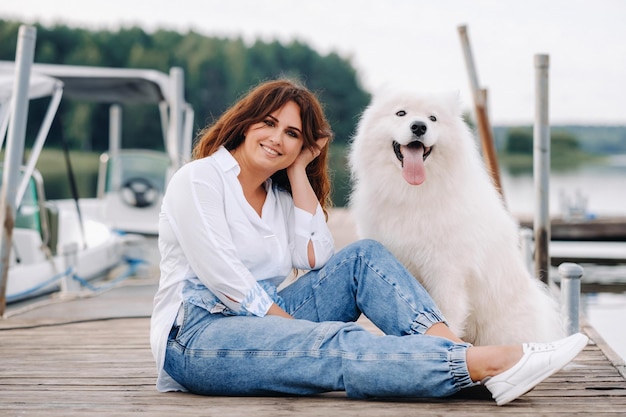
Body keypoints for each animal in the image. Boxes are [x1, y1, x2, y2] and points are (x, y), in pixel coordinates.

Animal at [348, 88, 564, 344]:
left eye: (433, 118)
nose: (419, 126)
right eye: (401, 113)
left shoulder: (446, 271)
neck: (413, 194)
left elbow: (446, 315)